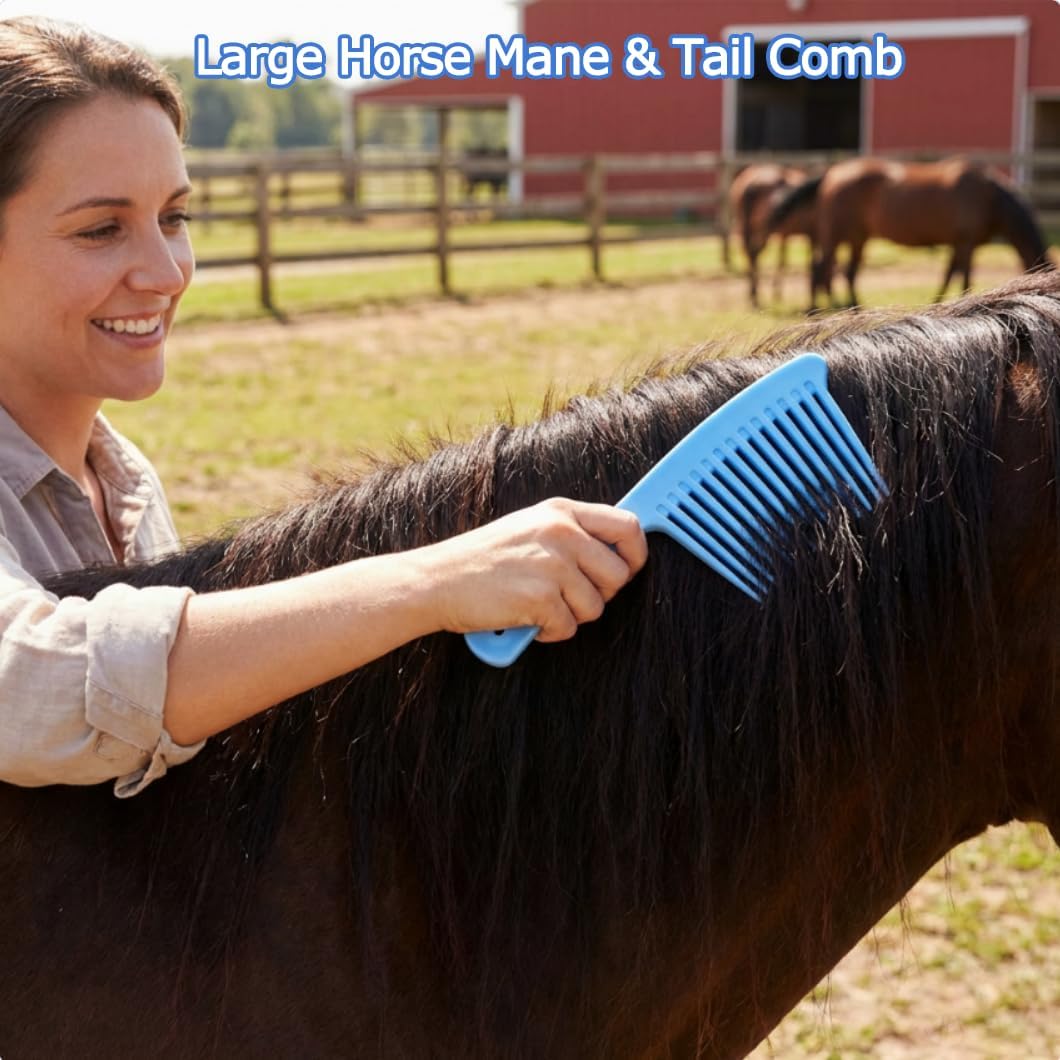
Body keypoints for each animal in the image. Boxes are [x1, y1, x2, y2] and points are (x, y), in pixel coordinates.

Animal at [726, 163, 816, 309]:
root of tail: (753, 182)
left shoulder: (784, 235)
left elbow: (782, 260)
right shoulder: (808, 235)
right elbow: (788, 261)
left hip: (752, 227)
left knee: (752, 254)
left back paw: (754, 296)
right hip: (762, 229)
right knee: (754, 253)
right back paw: (755, 297)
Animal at [769, 157, 1053, 312]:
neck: (989, 197)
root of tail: (833, 172)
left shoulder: (957, 244)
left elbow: (949, 274)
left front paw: (937, 303)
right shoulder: (966, 243)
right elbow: (963, 277)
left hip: (858, 237)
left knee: (845, 272)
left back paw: (852, 308)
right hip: (835, 234)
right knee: (821, 268)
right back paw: (816, 309)